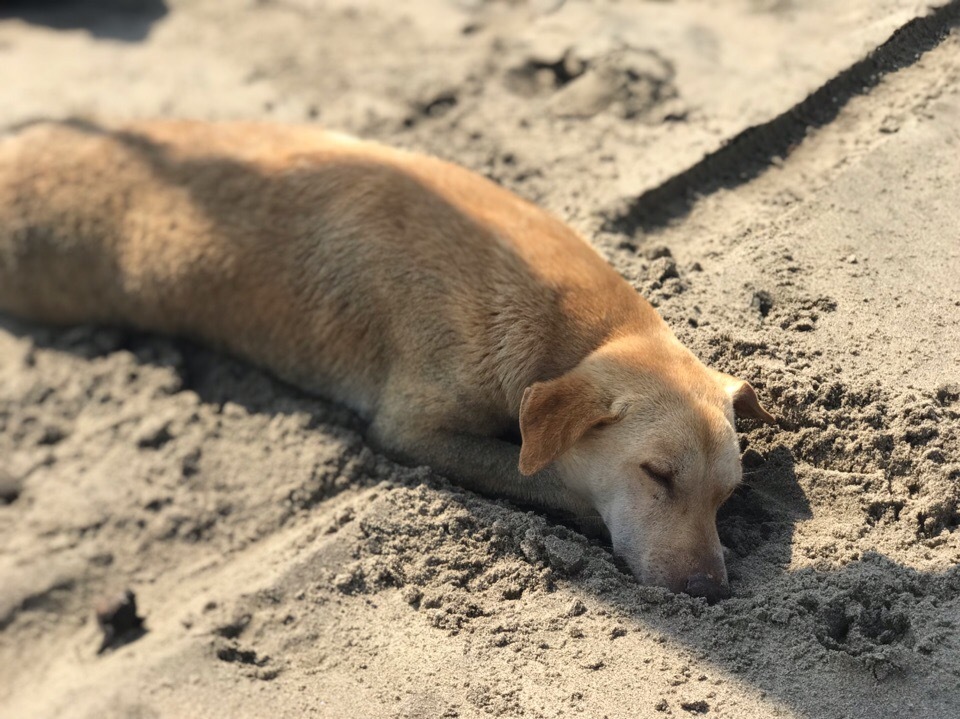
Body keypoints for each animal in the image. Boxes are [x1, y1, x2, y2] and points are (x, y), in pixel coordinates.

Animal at [0, 119, 772, 600]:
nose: (709, 591)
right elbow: (544, 476)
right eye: (656, 474)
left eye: (728, 493)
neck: (575, 330)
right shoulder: (411, 428)